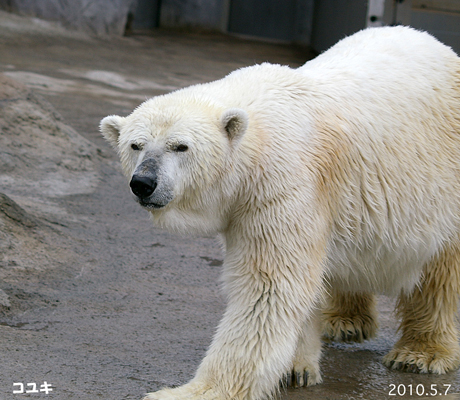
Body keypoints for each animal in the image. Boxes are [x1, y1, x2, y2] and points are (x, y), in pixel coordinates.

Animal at [100, 26, 460, 398]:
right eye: (136, 145)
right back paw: (345, 321)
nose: (143, 182)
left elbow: (268, 286)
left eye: (180, 146)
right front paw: (295, 368)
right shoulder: (249, 204)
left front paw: (191, 391)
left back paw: (419, 353)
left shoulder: (283, 183)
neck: (256, 134)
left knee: (439, 271)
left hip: (440, 184)